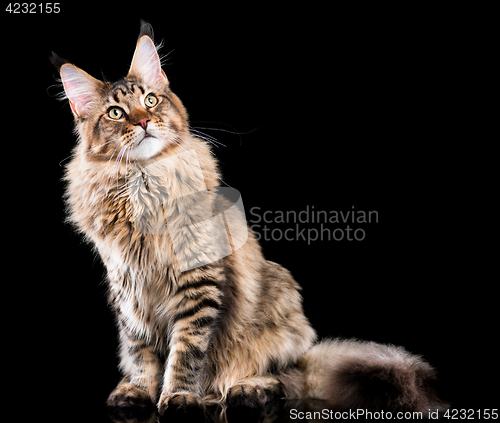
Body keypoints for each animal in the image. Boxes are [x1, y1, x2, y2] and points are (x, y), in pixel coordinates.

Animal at [52, 21, 448, 420]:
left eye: (150, 101)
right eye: (116, 113)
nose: (146, 121)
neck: (144, 185)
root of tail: (304, 358)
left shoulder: (199, 284)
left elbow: (186, 351)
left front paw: (179, 396)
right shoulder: (128, 289)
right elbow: (141, 351)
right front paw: (139, 391)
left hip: (279, 306)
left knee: (282, 378)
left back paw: (249, 388)